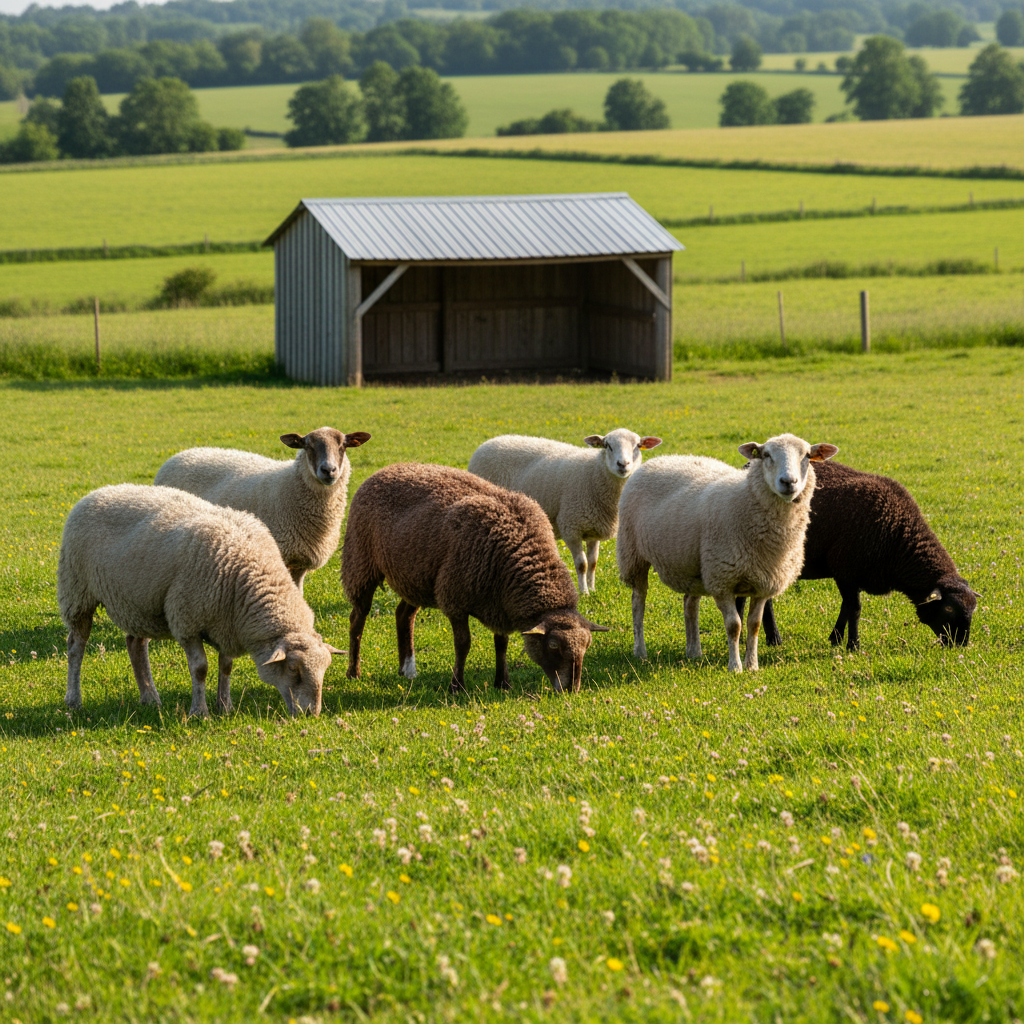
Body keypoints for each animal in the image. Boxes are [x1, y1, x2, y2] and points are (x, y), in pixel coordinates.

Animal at [58, 484, 342, 717]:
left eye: (326, 668)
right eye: (293, 669)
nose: (311, 713)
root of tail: (100, 490)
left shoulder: (228, 624)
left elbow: (226, 666)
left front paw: (225, 706)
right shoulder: (187, 622)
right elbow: (200, 668)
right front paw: (199, 712)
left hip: (140, 602)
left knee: (135, 644)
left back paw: (150, 697)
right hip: (77, 591)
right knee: (76, 646)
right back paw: (73, 699)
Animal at [341, 463, 609, 693]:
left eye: (587, 645)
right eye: (553, 646)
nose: (571, 689)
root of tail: (387, 468)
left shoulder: (500, 604)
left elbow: (501, 644)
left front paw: (503, 683)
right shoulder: (455, 599)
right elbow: (463, 644)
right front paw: (456, 686)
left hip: (416, 576)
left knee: (403, 615)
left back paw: (407, 670)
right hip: (361, 563)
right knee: (357, 618)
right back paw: (354, 672)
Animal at [467, 429, 662, 595]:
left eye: (637, 445)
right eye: (607, 445)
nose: (623, 464)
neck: (594, 473)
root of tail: (489, 442)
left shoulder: (593, 528)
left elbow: (593, 563)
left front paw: (592, 589)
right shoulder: (571, 527)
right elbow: (582, 564)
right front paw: (584, 593)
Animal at [617, 434, 838, 673]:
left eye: (807, 456)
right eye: (766, 455)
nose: (788, 482)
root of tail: (660, 458)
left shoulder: (763, 582)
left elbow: (754, 625)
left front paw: (753, 665)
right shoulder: (722, 580)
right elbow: (734, 626)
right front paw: (735, 666)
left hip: (695, 563)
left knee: (689, 603)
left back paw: (694, 652)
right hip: (633, 553)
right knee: (638, 602)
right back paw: (640, 651)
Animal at [750, 460, 978, 650]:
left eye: (973, 609)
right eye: (948, 609)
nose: (960, 645)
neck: (899, 536)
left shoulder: (852, 574)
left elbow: (846, 607)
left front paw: (836, 638)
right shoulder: (846, 568)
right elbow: (855, 609)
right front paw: (853, 645)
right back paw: (774, 639)